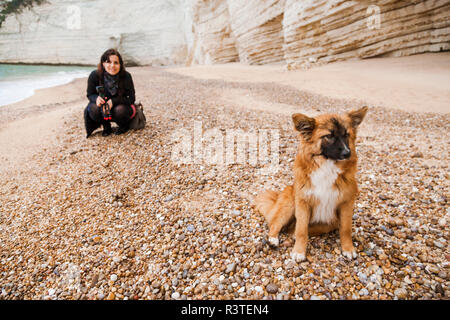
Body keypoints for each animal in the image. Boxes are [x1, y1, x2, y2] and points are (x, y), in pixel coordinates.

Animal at [255, 106, 368, 262]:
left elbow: (346, 229)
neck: (327, 166)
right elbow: (302, 230)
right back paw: (273, 239)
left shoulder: (346, 203)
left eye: (346, 134)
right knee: (276, 224)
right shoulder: (303, 203)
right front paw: (299, 252)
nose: (347, 153)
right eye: (329, 135)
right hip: (289, 204)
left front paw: (348, 249)